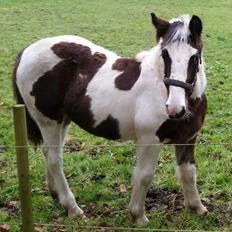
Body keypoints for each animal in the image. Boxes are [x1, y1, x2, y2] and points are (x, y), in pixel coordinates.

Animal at [12, 13, 208, 225]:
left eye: (194, 57)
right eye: (165, 55)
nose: (174, 108)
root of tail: (26, 51)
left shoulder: (188, 138)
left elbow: (188, 172)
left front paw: (197, 207)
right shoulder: (149, 140)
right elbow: (145, 175)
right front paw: (138, 215)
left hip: (62, 120)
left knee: (49, 153)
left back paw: (56, 194)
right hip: (48, 121)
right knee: (56, 160)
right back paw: (73, 207)